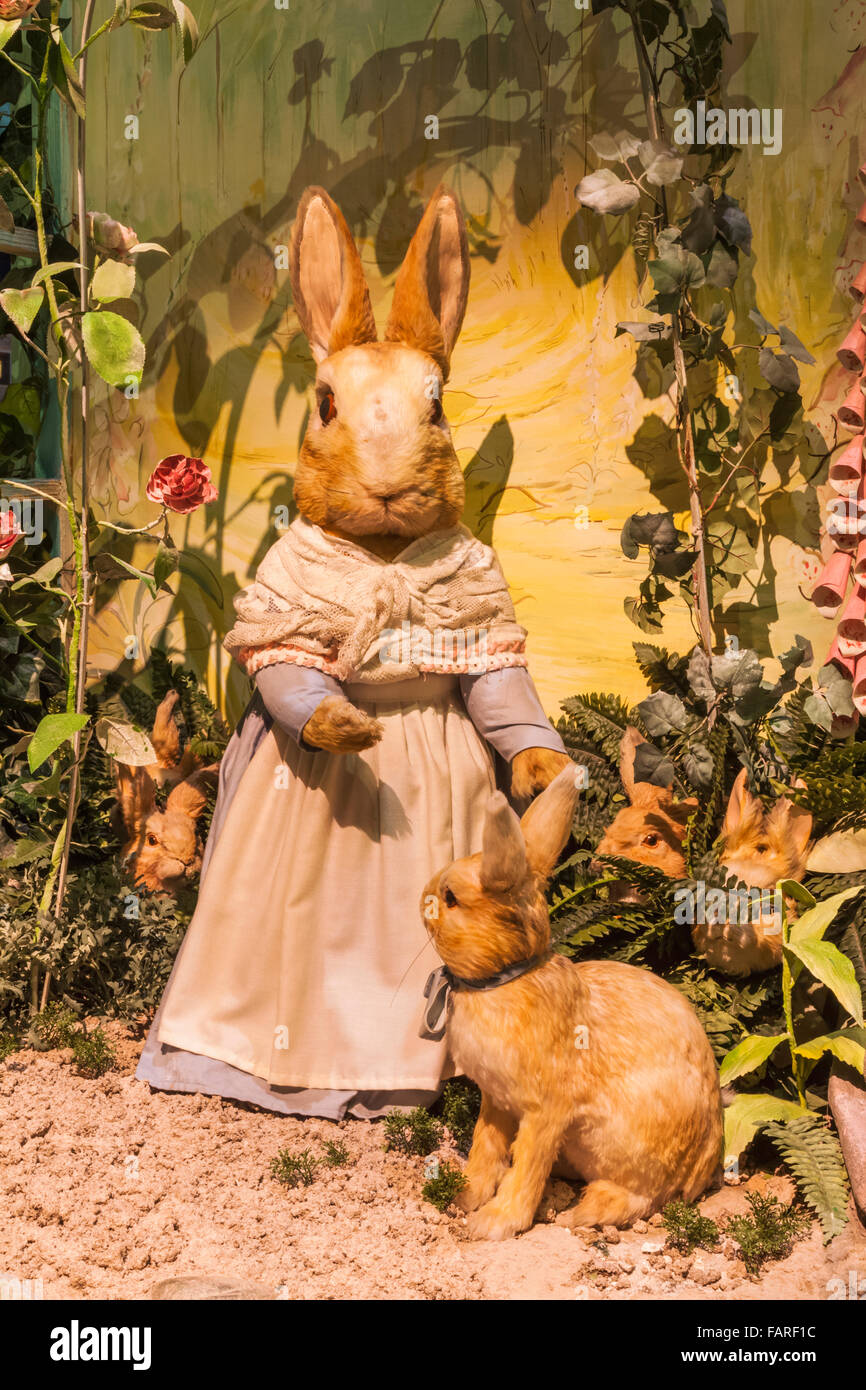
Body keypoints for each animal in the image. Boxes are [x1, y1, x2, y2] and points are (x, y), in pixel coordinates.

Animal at [422, 767, 722, 1245]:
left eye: (450, 898)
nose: (422, 897)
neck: (505, 979)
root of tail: (701, 1175)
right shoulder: (496, 1101)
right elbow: (485, 1149)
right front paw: (465, 1196)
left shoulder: (546, 1112)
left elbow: (526, 1164)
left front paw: (495, 1222)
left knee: (640, 1196)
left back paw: (581, 1213)